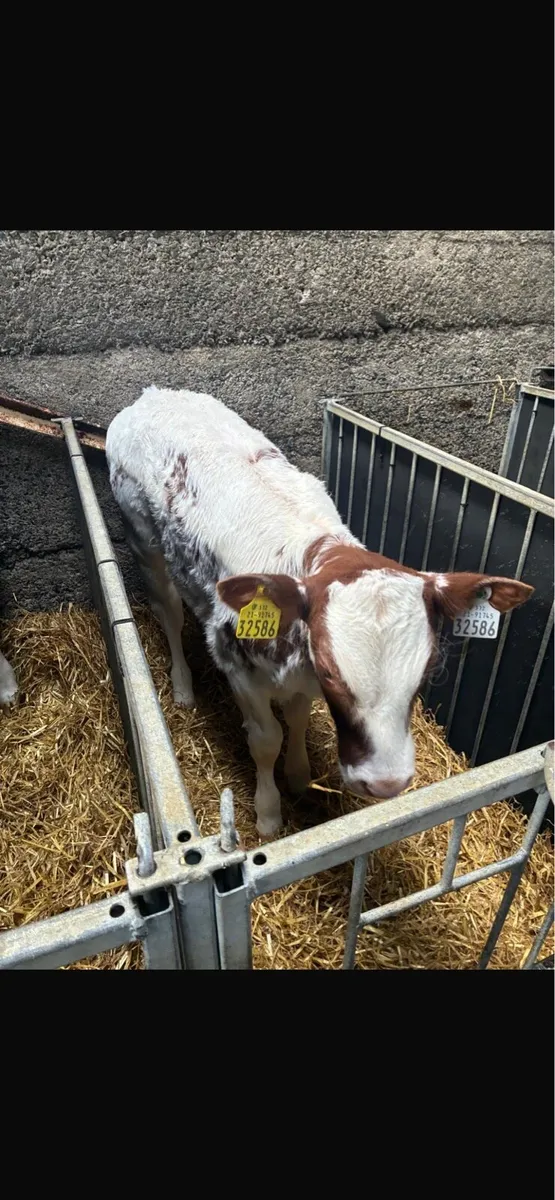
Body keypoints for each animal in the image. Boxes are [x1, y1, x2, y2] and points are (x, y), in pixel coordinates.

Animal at [106, 386, 534, 838]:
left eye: (429, 668)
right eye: (330, 671)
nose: (386, 783)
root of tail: (154, 395)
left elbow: (296, 719)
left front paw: (298, 775)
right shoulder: (239, 667)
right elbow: (266, 740)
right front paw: (269, 813)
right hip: (142, 538)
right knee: (169, 612)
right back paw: (183, 687)